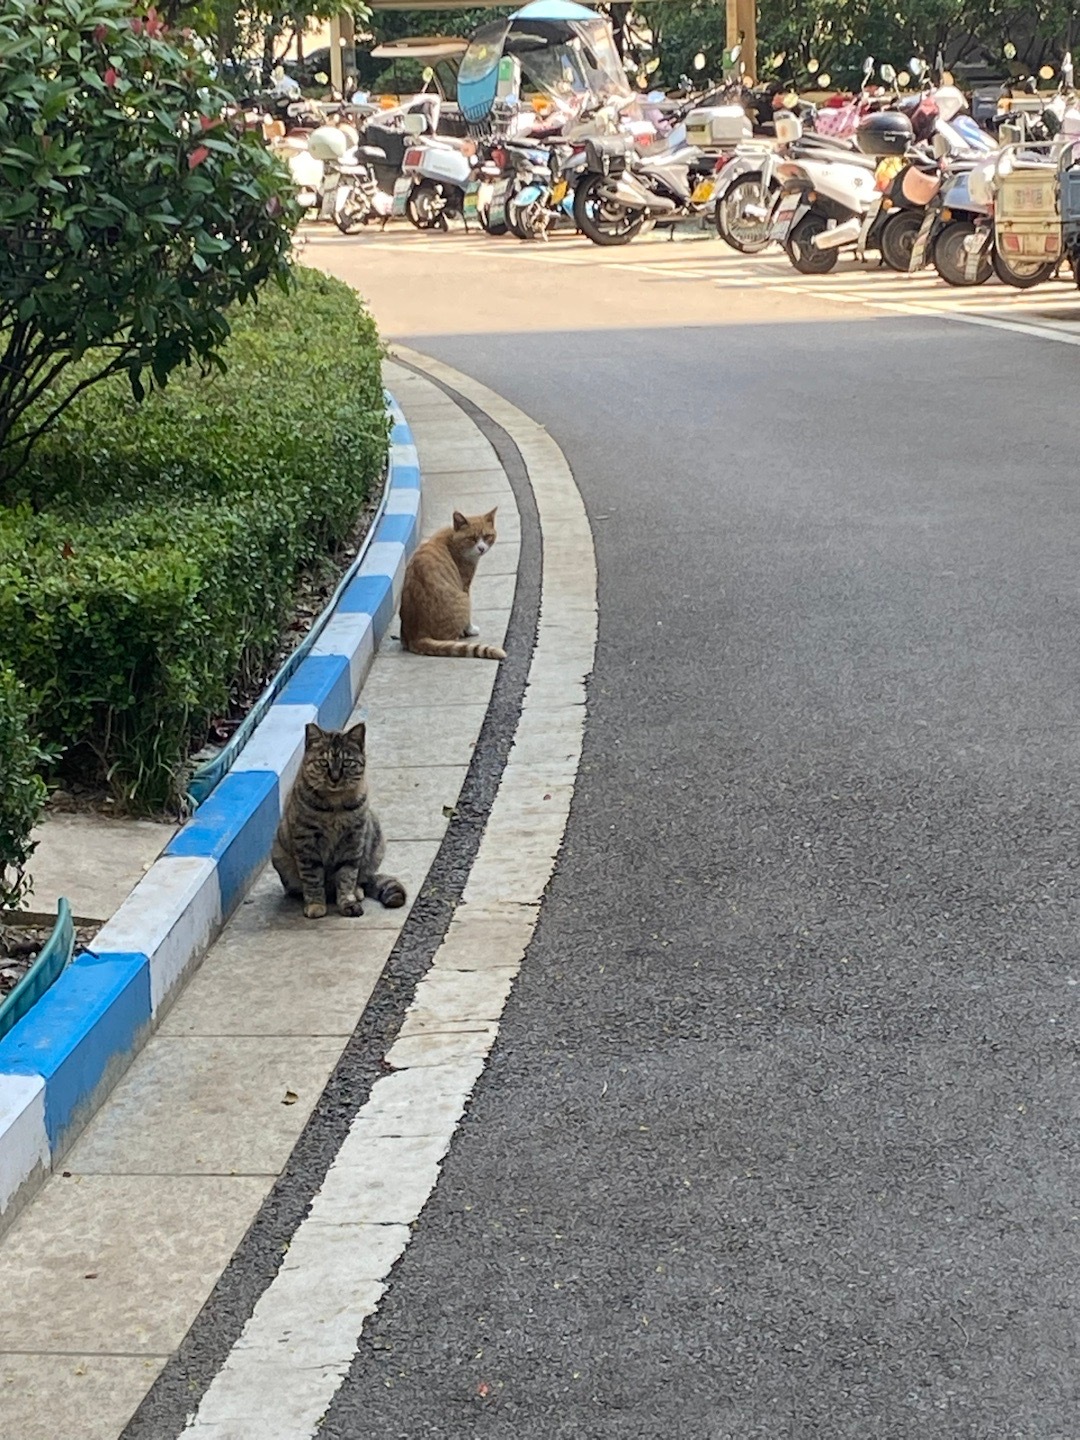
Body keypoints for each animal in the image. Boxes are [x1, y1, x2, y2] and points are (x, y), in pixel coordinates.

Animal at [270, 720, 406, 921]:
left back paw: (357, 891)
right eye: (323, 762)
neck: (335, 806)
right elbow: (312, 877)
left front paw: (348, 902)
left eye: (347, 763)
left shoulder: (353, 839)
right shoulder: (306, 841)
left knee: (362, 878)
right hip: (279, 855)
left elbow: (347, 875)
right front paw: (316, 904)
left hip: (375, 840)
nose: (334, 778)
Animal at [403, 509, 506, 659]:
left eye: (487, 536)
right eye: (472, 538)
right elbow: (468, 618)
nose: (481, 548)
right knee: (451, 639)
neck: (452, 537)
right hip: (462, 598)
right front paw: (470, 630)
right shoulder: (465, 586)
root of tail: (416, 636)